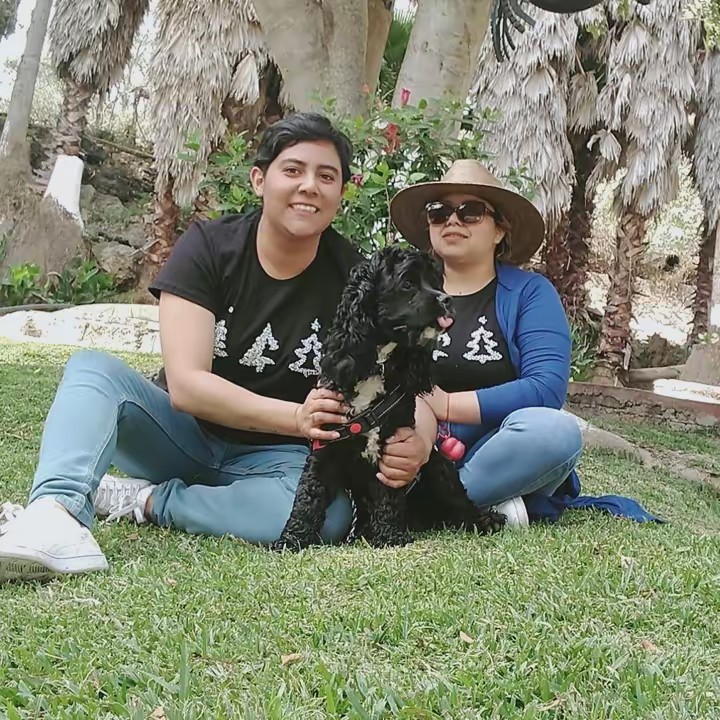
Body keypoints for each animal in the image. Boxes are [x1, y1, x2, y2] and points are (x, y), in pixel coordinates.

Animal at [271, 244, 506, 550]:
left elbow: (388, 494)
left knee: (460, 503)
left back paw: (485, 520)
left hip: (438, 466)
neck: (375, 365)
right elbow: (309, 495)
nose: (447, 299)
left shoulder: (394, 446)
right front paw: (292, 539)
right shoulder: (325, 445)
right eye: (407, 283)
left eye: (435, 282)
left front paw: (390, 536)